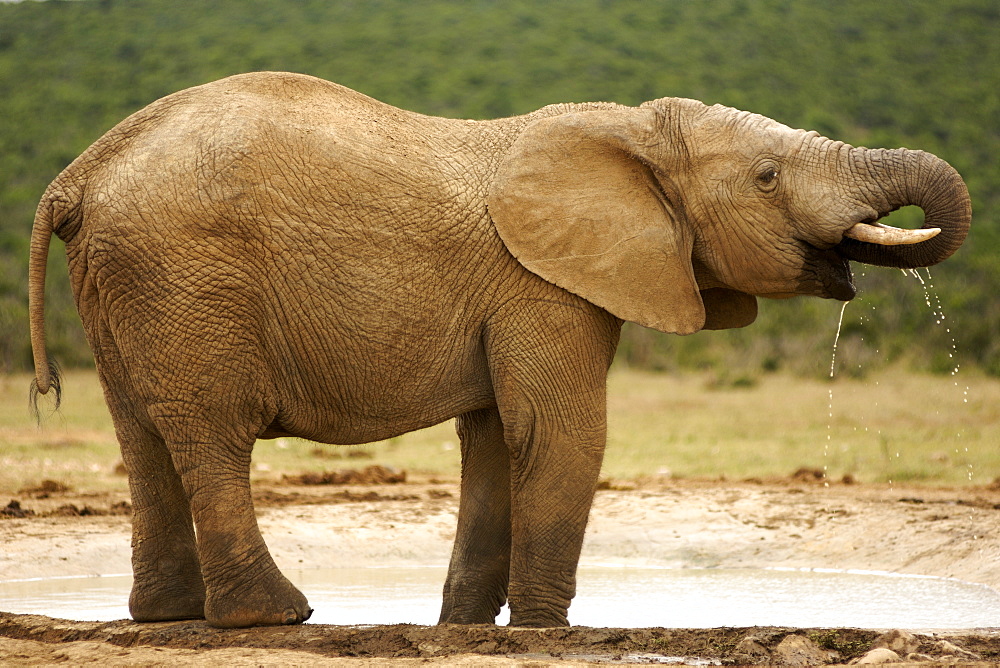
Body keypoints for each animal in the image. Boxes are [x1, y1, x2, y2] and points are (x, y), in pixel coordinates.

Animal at [29, 70, 968, 628]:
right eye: (768, 178)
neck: (629, 130)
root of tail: (76, 178)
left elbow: (490, 440)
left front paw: (467, 625)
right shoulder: (543, 285)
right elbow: (559, 433)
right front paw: (549, 628)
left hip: (127, 283)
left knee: (141, 437)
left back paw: (166, 617)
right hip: (187, 278)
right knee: (213, 435)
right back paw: (276, 617)